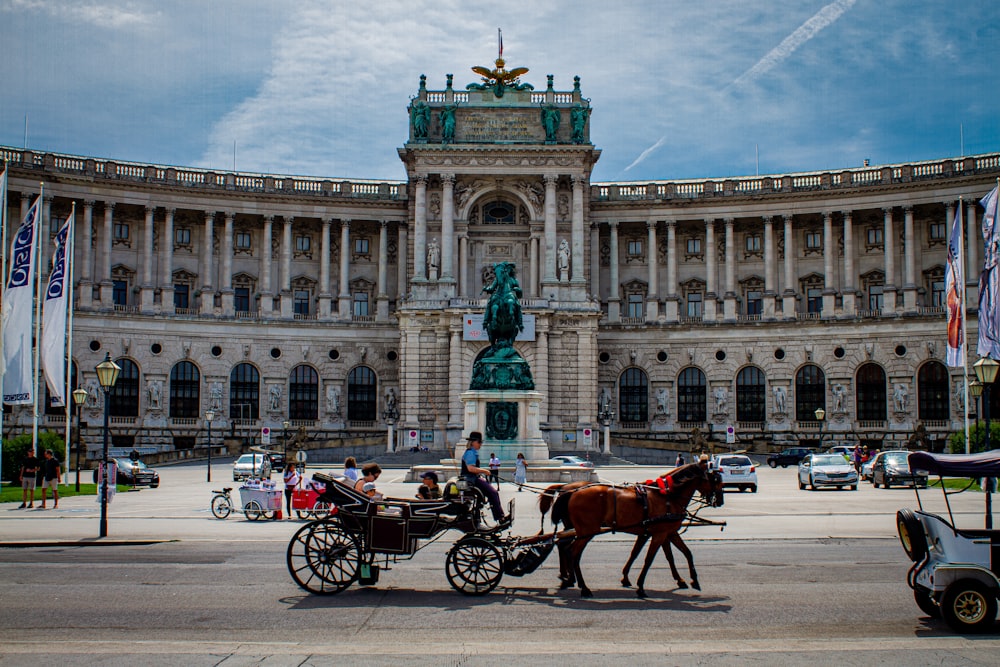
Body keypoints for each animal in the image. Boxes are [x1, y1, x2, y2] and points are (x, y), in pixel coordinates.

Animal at [552, 464, 724, 600]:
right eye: (716, 480)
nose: (720, 501)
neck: (667, 496)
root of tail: (571, 491)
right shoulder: (660, 534)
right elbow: (649, 559)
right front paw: (640, 587)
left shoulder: (664, 532)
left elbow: (683, 553)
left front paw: (692, 581)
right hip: (587, 530)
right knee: (572, 552)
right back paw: (582, 586)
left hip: (580, 530)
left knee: (566, 548)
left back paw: (570, 580)